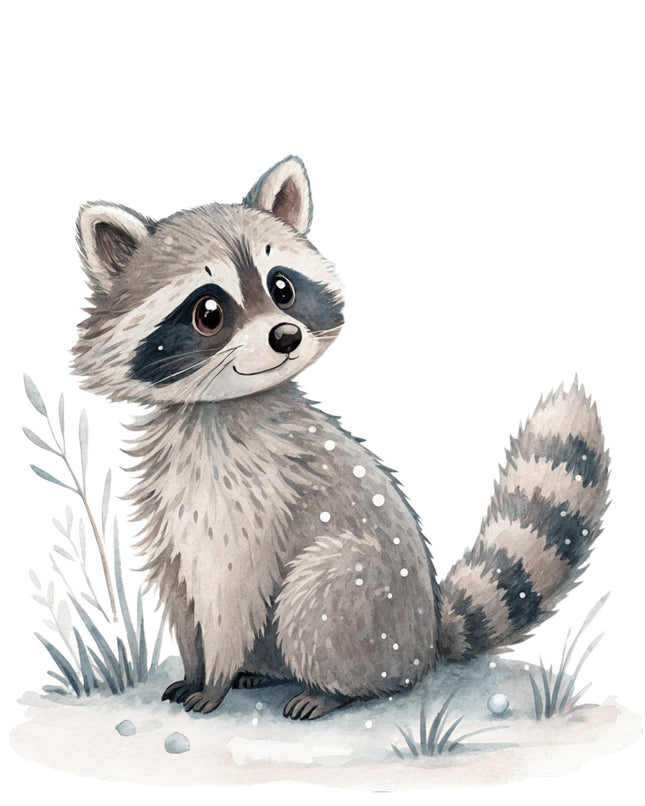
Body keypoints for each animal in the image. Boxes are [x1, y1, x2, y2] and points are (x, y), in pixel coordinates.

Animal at [72, 156, 609, 719]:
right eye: (209, 312)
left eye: (282, 288)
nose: (285, 336)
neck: (216, 408)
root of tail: (430, 636)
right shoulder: (174, 511)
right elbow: (181, 590)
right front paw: (196, 666)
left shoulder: (250, 507)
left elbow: (229, 595)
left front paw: (213, 678)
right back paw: (259, 673)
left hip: (365, 604)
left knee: (316, 595)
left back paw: (328, 690)